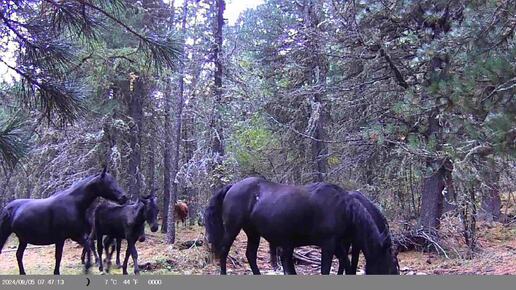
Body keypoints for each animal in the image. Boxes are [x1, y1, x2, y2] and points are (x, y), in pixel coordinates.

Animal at [0, 168, 128, 274]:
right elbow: (59, 256)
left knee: (18, 255)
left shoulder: (76, 235)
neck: (73, 204)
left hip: (23, 239)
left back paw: (23, 273)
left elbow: (88, 246)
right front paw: (57, 272)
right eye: (108, 182)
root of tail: (7, 208)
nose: (124, 197)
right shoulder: (60, 238)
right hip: (7, 234)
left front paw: (87, 267)